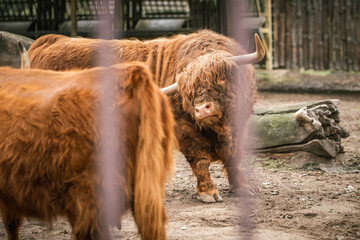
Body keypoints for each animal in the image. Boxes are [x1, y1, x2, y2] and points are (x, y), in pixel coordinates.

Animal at [27, 29, 264, 202]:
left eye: (221, 79)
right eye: (188, 92)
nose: (201, 109)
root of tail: (48, 41)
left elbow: (233, 158)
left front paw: (242, 188)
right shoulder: (186, 132)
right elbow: (201, 161)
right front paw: (208, 193)